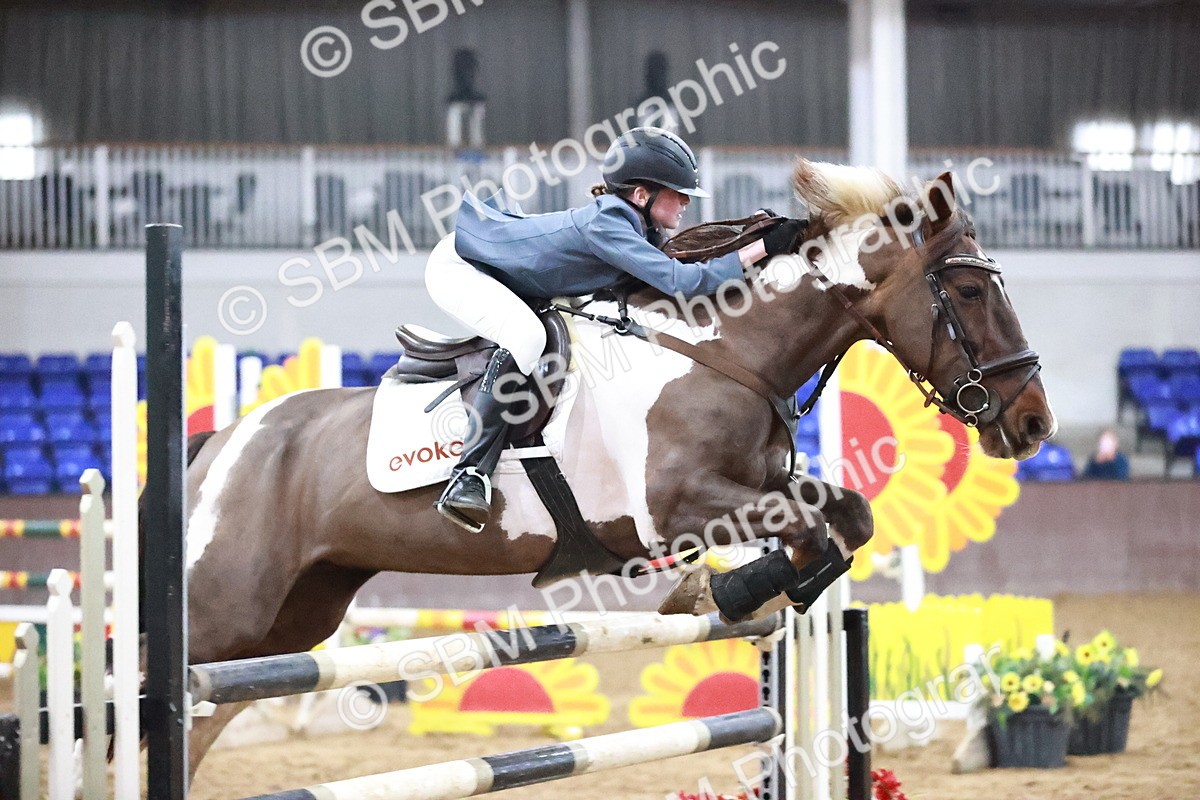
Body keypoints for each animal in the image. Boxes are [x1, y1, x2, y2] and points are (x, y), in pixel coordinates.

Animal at [179, 159, 1056, 777]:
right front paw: (730, 588)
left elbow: (847, 516)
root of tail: (225, 441)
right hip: (225, 607)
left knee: (206, 715)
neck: (729, 353)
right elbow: (812, 524)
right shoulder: (673, 509)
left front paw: (743, 589)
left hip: (293, 615)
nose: (1034, 423)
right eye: (968, 289)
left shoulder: (756, 486)